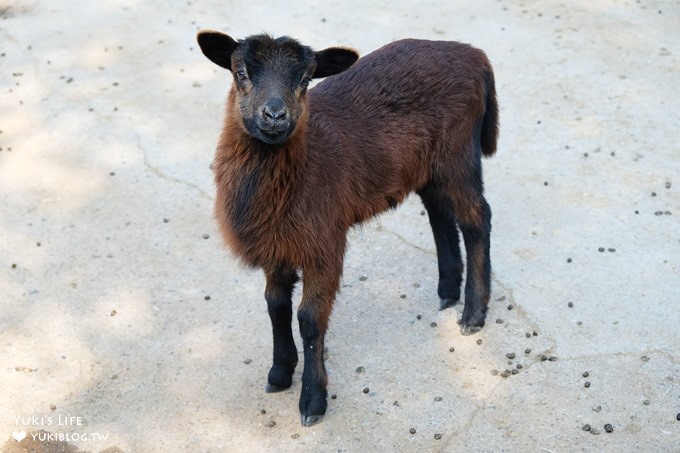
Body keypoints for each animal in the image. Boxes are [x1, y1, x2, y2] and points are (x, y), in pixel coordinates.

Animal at [197, 30, 500, 426]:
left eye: (306, 80)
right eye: (241, 73)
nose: (275, 115)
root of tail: (475, 55)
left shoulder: (324, 244)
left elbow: (309, 319)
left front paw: (312, 400)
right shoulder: (276, 246)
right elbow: (275, 305)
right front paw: (279, 373)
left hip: (458, 154)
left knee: (477, 218)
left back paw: (473, 312)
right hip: (428, 165)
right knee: (440, 214)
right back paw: (448, 290)